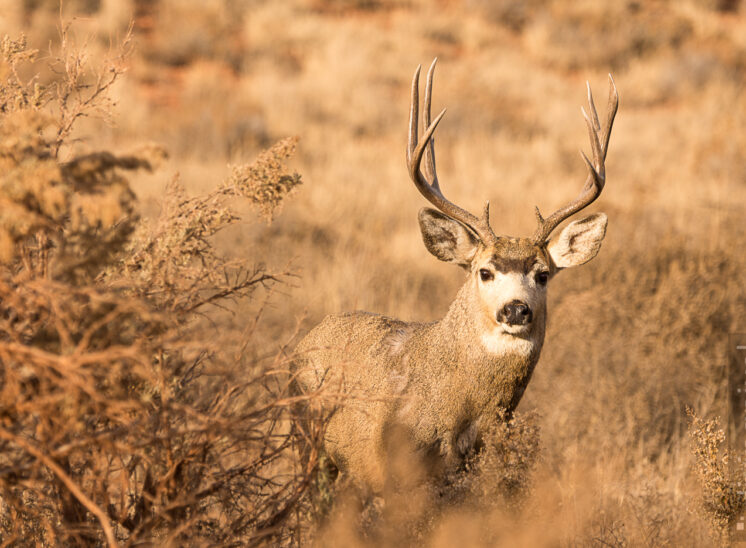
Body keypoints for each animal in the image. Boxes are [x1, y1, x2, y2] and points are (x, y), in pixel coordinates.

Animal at [290, 60, 616, 492]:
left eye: (543, 274)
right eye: (485, 271)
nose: (516, 309)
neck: (461, 412)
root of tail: (309, 336)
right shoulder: (395, 466)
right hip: (306, 437)